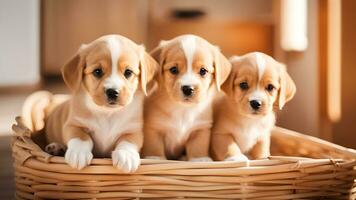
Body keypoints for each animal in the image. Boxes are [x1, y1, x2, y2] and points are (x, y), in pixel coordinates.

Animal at [43, 34, 157, 172]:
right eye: (97, 71)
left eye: (128, 72)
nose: (113, 92)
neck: (107, 114)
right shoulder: (73, 124)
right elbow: (81, 137)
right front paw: (78, 153)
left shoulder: (133, 130)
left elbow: (127, 142)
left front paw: (126, 156)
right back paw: (55, 147)